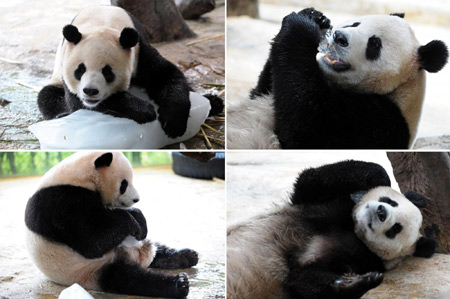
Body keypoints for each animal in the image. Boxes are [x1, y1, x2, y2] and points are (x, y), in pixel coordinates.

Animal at [25, 154, 199, 298]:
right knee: (129, 279)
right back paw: (179, 284)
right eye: (124, 184)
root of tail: (135, 256)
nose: (136, 199)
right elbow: (92, 241)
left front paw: (140, 221)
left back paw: (186, 256)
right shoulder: (60, 203)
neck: (79, 177)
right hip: (89, 269)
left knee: (157, 251)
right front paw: (133, 224)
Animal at [37, 5, 202, 139]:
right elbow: (79, 102)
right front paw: (144, 110)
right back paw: (61, 114)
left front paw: (173, 121)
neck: (102, 24)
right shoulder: (66, 63)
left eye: (107, 72)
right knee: (48, 97)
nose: (90, 91)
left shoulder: (139, 52)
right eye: (80, 69)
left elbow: (165, 75)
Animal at [227, 162, 438, 299]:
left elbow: (303, 279)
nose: (381, 211)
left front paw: (356, 282)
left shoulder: (360, 258)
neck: (354, 231)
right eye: (390, 201)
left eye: (395, 229)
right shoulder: (318, 208)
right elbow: (310, 181)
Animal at [230, 8, 448, 149]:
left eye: (374, 44)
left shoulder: (377, 125)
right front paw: (315, 17)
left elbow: (306, 126)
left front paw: (302, 26)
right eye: (355, 23)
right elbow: (264, 89)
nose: (339, 37)